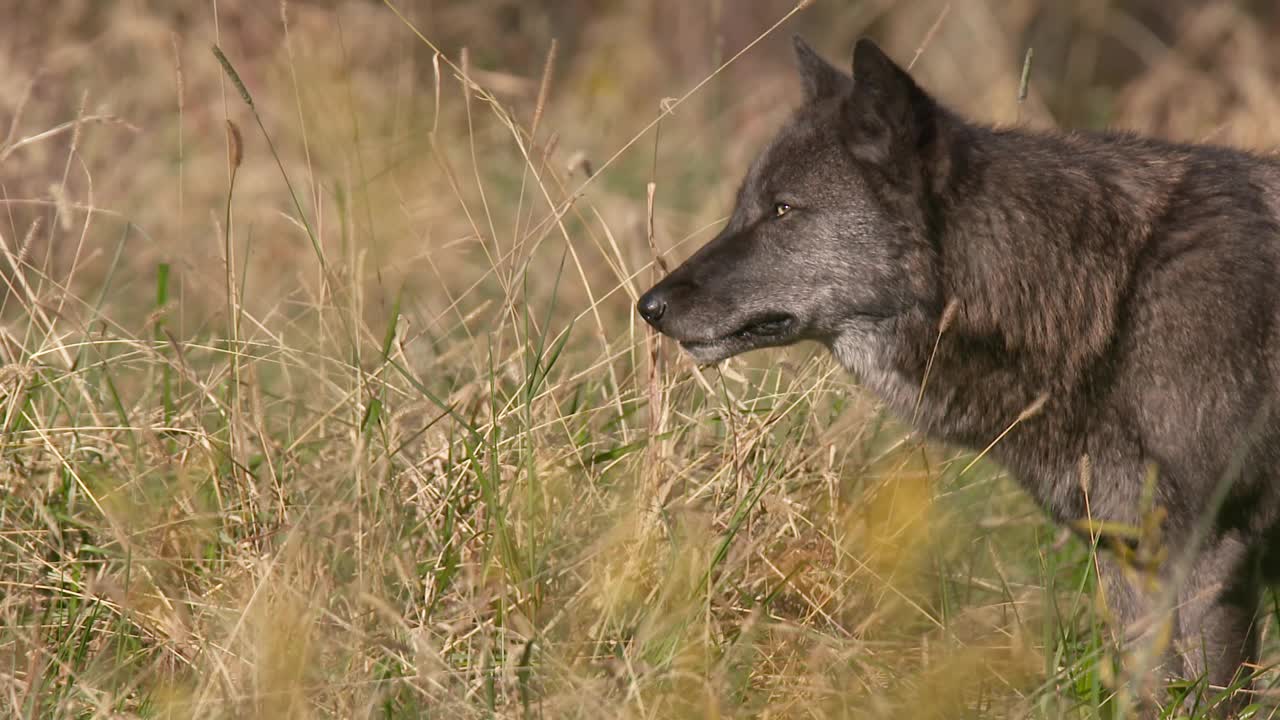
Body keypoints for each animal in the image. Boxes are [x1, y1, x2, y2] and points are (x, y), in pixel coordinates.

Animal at [637, 37, 1280, 712]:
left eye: (782, 209)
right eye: (745, 207)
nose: (649, 306)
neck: (1115, 295)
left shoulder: (1210, 554)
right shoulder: (1130, 558)